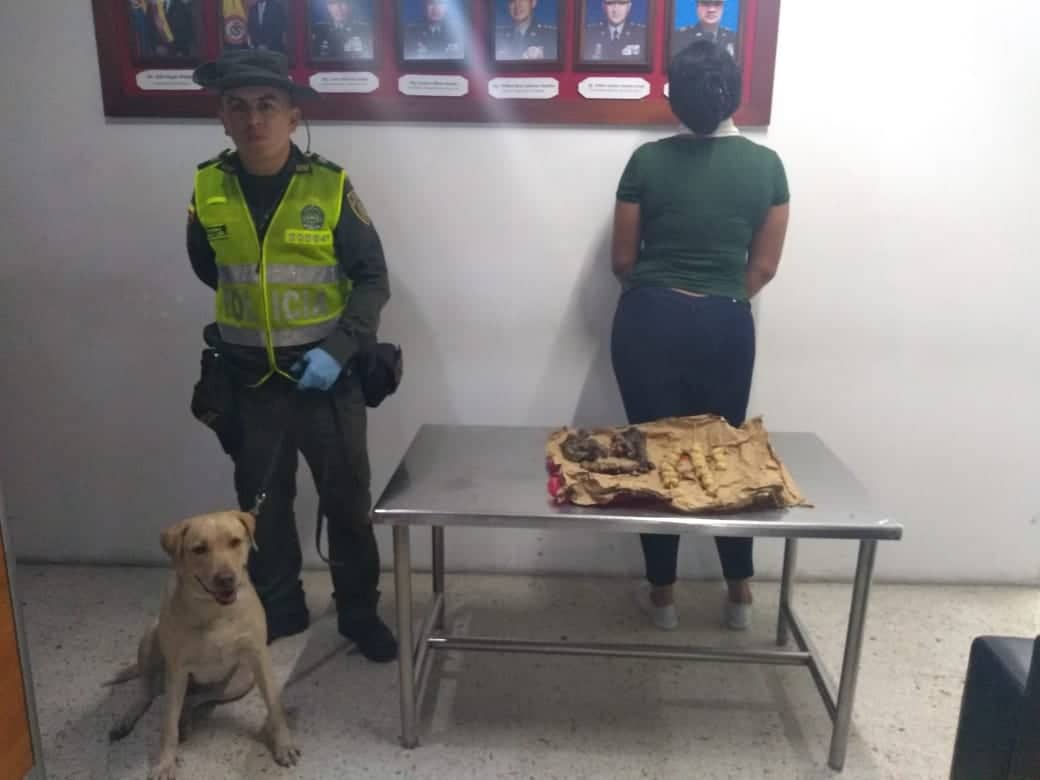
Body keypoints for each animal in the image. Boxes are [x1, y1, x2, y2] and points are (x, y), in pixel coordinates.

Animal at [106, 510, 300, 780]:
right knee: (147, 693)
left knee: (196, 699)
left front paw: (284, 745)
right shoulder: (177, 670)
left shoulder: (259, 659)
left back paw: (186, 719)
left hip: (240, 682)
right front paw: (165, 763)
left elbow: (274, 705)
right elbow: (168, 726)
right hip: (149, 641)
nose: (226, 579)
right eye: (199, 549)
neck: (214, 611)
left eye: (235, 541)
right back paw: (126, 720)